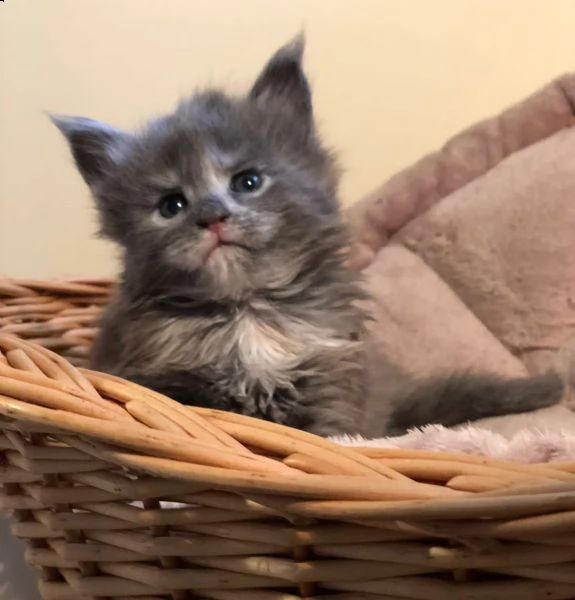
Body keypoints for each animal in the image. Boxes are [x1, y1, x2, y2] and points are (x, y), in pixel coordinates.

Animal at [51, 37, 564, 438]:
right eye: (171, 205)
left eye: (248, 181)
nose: (213, 217)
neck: (248, 312)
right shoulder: (158, 377)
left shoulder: (336, 377)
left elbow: (331, 439)